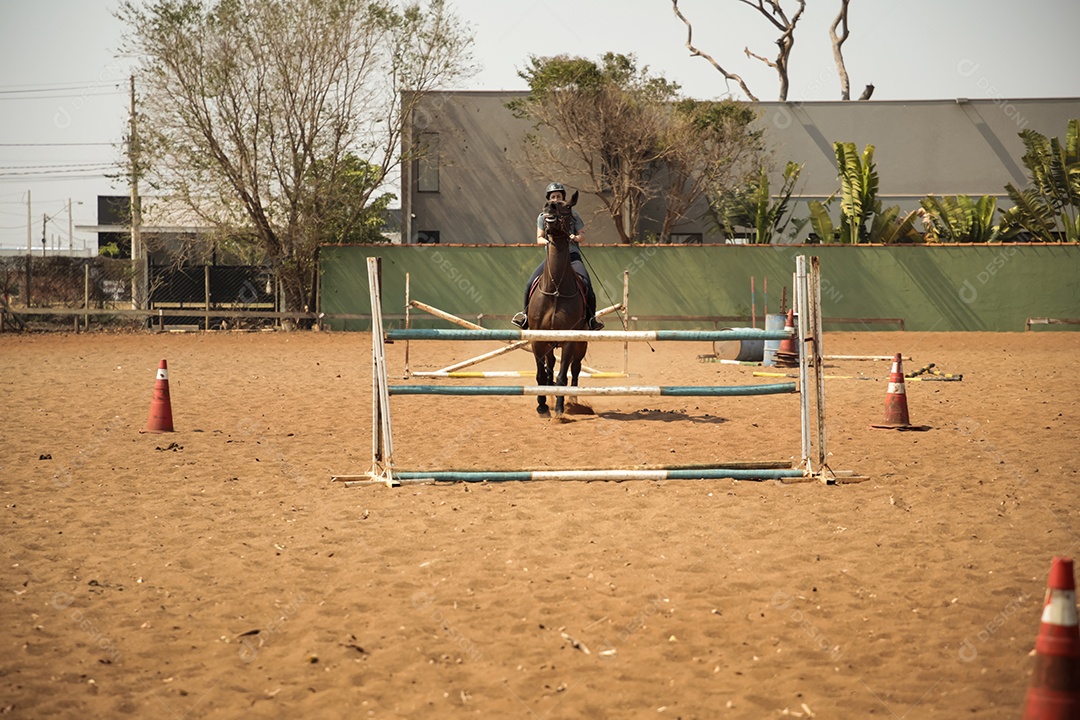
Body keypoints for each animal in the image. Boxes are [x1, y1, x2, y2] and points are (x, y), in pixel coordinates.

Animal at [524, 191, 587, 416]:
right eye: (551, 201)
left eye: (566, 207)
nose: (549, 207)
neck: (556, 289)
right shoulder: (538, 339)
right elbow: (541, 374)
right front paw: (542, 406)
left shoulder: (570, 339)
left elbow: (563, 376)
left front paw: (559, 409)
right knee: (550, 366)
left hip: (582, 343)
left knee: (575, 369)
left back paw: (573, 400)